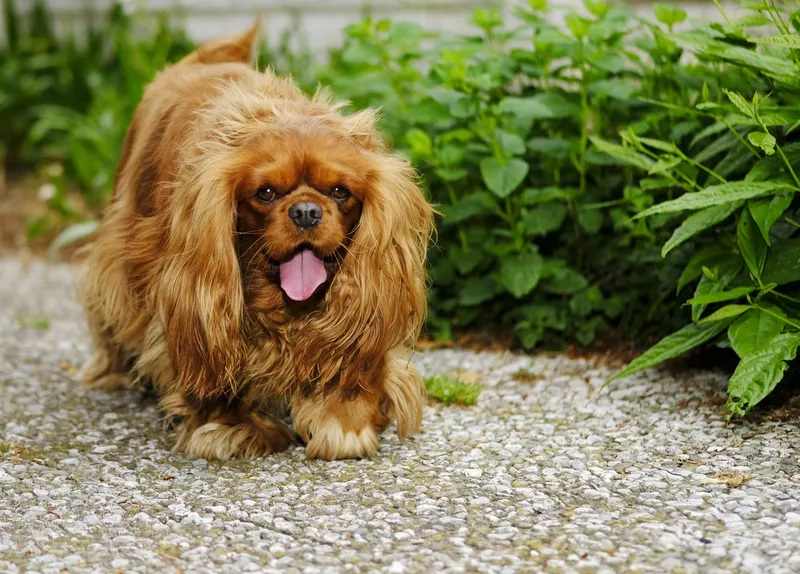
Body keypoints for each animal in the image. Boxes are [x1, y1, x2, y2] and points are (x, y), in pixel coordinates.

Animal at [78, 23, 434, 464]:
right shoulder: (196, 297)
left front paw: (343, 420)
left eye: (339, 192)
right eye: (265, 193)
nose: (305, 211)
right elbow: (213, 362)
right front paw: (232, 426)